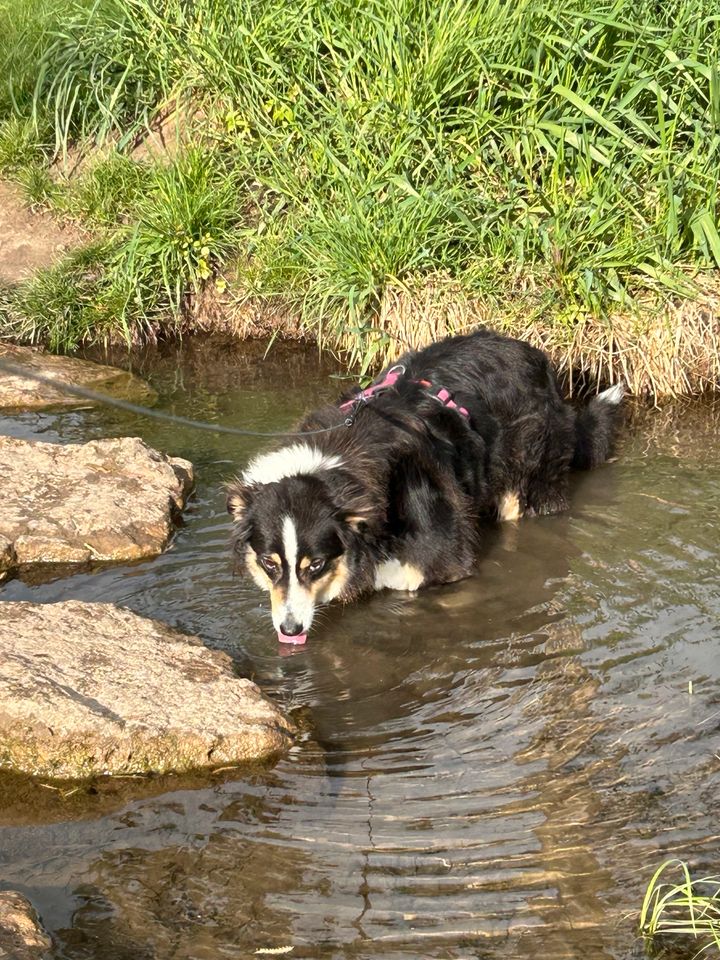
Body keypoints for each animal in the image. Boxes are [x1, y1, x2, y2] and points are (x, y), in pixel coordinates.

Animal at [228, 330, 620, 644]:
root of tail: (533, 354)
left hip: (526, 484)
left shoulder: (446, 568)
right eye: (268, 563)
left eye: (316, 565)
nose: (289, 629)